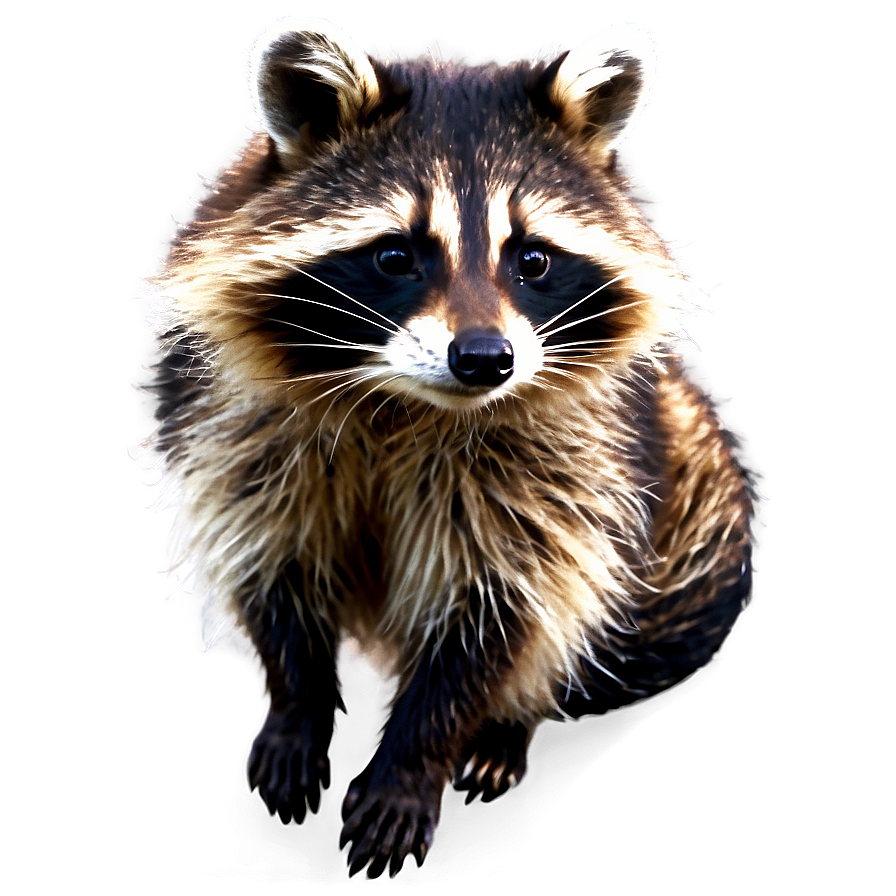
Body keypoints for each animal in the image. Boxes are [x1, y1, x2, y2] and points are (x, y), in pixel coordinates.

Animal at [139, 16, 759, 878]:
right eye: (396, 255)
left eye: (532, 259)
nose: (485, 358)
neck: (406, 401)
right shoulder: (235, 425)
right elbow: (272, 558)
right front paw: (296, 710)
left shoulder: (566, 460)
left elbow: (500, 609)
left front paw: (413, 762)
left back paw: (511, 722)